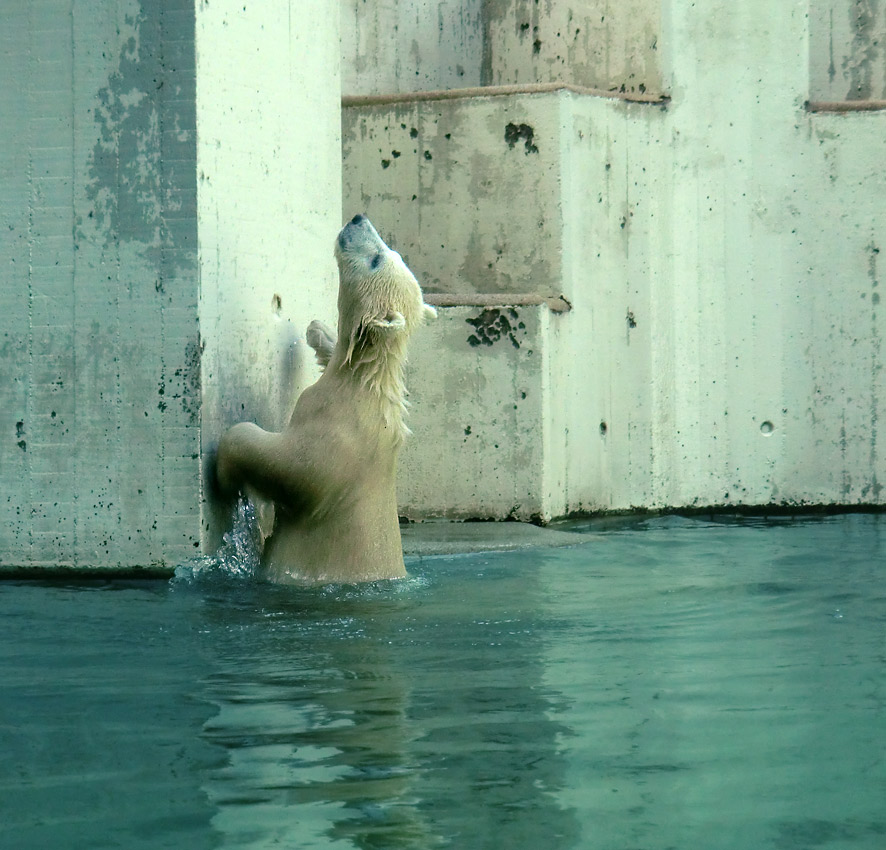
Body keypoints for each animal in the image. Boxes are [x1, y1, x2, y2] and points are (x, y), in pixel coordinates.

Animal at [216, 214, 438, 584]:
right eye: (389, 252)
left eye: (376, 260)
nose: (357, 218)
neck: (361, 385)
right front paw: (318, 331)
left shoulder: (335, 440)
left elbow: (290, 466)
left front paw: (226, 466)